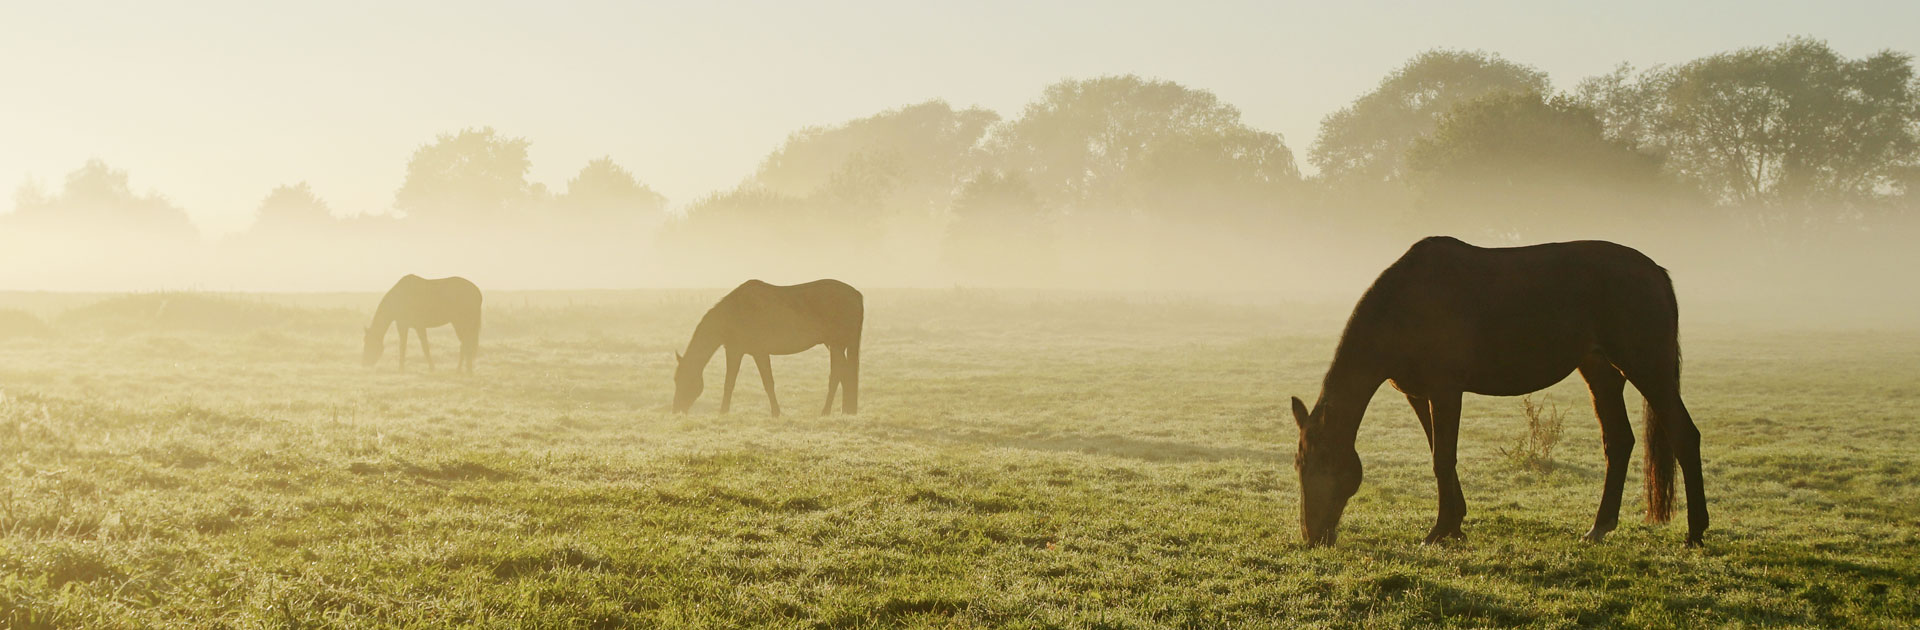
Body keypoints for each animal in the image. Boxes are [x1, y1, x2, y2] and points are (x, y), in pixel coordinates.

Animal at [668, 278, 864, 416]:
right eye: (675, 380)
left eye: (683, 379)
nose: (676, 409)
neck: (734, 313)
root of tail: (856, 294)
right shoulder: (735, 351)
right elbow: (730, 382)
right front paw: (724, 411)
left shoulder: (757, 352)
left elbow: (766, 382)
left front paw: (775, 412)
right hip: (836, 345)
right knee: (844, 373)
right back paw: (846, 410)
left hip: (836, 344)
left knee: (838, 374)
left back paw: (827, 411)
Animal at [1290, 236, 1712, 545]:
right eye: (1299, 465)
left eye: (1323, 462)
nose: (1313, 536)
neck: (1406, 305)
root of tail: (1656, 272)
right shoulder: (1419, 394)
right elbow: (1438, 453)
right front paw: (1455, 524)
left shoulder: (1446, 391)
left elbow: (1442, 458)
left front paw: (1439, 531)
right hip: (1600, 372)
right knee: (1619, 441)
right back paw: (1599, 527)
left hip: (1648, 369)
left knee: (1684, 435)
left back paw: (1695, 531)